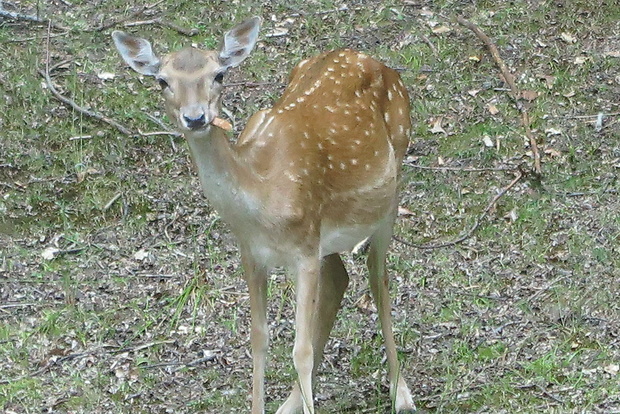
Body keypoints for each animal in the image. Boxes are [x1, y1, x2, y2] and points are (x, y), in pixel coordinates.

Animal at [112, 16, 416, 414]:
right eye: (162, 80)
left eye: (219, 74)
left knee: (378, 278)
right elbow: (259, 339)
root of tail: (377, 62)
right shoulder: (253, 253)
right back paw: (291, 403)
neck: (263, 199)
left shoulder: (304, 249)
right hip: (329, 233)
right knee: (341, 278)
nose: (195, 117)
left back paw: (401, 393)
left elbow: (300, 351)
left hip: (391, 186)